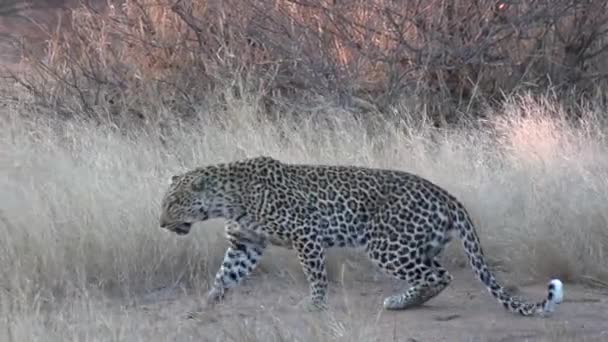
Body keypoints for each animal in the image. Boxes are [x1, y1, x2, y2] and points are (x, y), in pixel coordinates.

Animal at [159, 156, 564, 316]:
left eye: (174, 203)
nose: (162, 224)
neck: (227, 201)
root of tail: (447, 195)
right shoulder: (246, 243)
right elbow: (226, 275)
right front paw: (207, 303)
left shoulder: (306, 236)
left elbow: (316, 276)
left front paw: (315, 305)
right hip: (418, 245)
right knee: (436, 273)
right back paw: (405, 301)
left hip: (386, 245)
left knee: (440, 275)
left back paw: (399, 302)